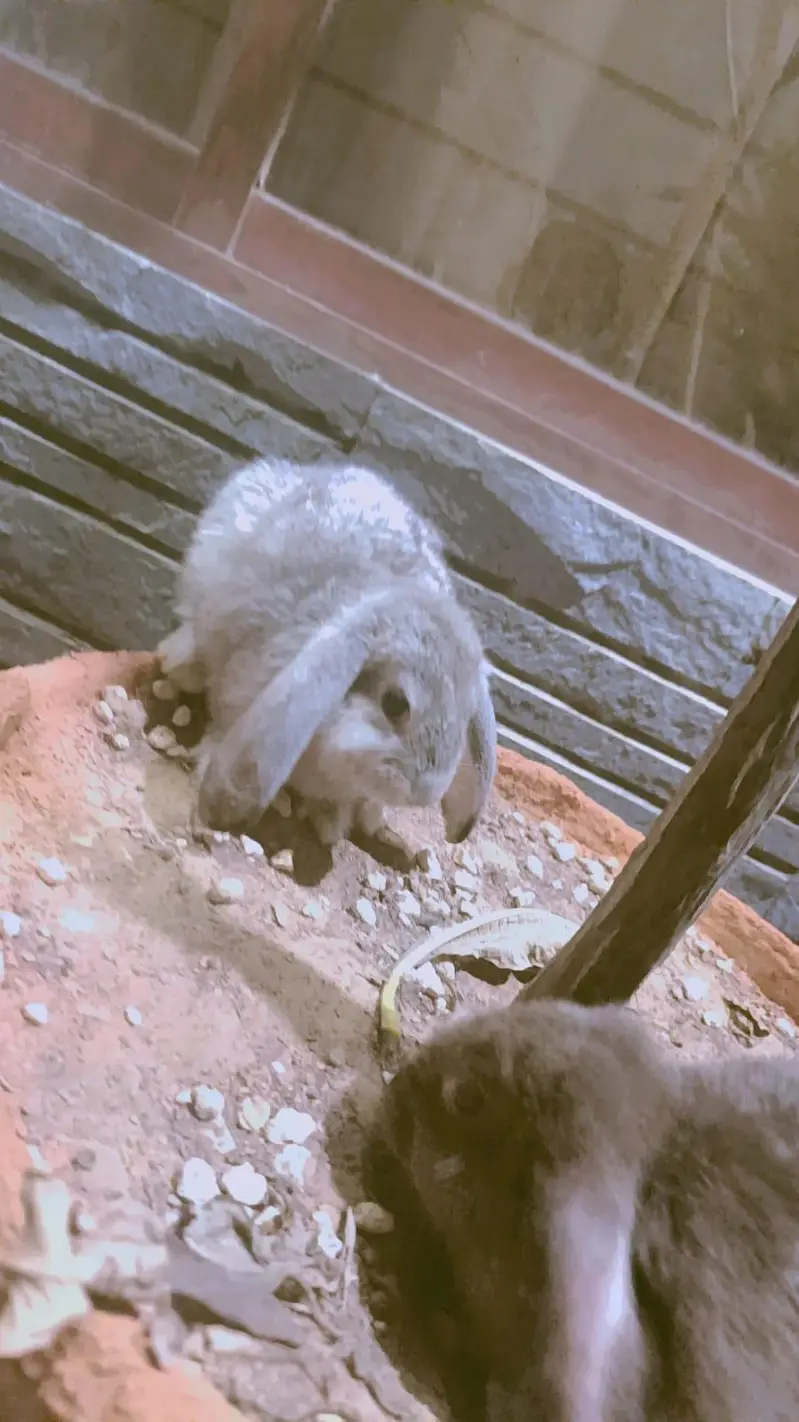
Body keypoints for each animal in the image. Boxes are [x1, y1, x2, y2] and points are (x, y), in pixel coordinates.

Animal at [158, 456, 497, 845]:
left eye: (464, 715)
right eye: (395, 703)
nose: (424, 793)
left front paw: (332, 822)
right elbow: (222, 726)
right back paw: (178, 662)